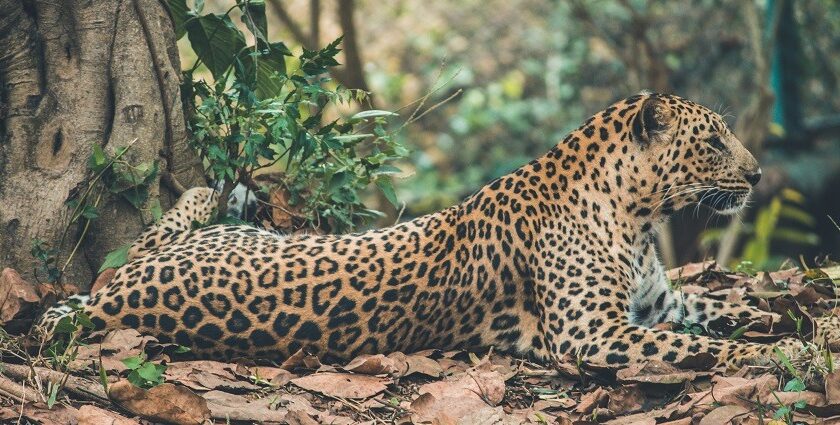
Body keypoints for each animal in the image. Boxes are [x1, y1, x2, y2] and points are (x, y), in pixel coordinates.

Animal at [41, 92, 840, 368]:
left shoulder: (658, 300)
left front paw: (787, 316)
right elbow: (691, 344)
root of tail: (111, 303)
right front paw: (770, 351)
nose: (758, 176)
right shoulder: (593, 334)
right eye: (713, 141)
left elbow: (718, 306)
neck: (639, 218)